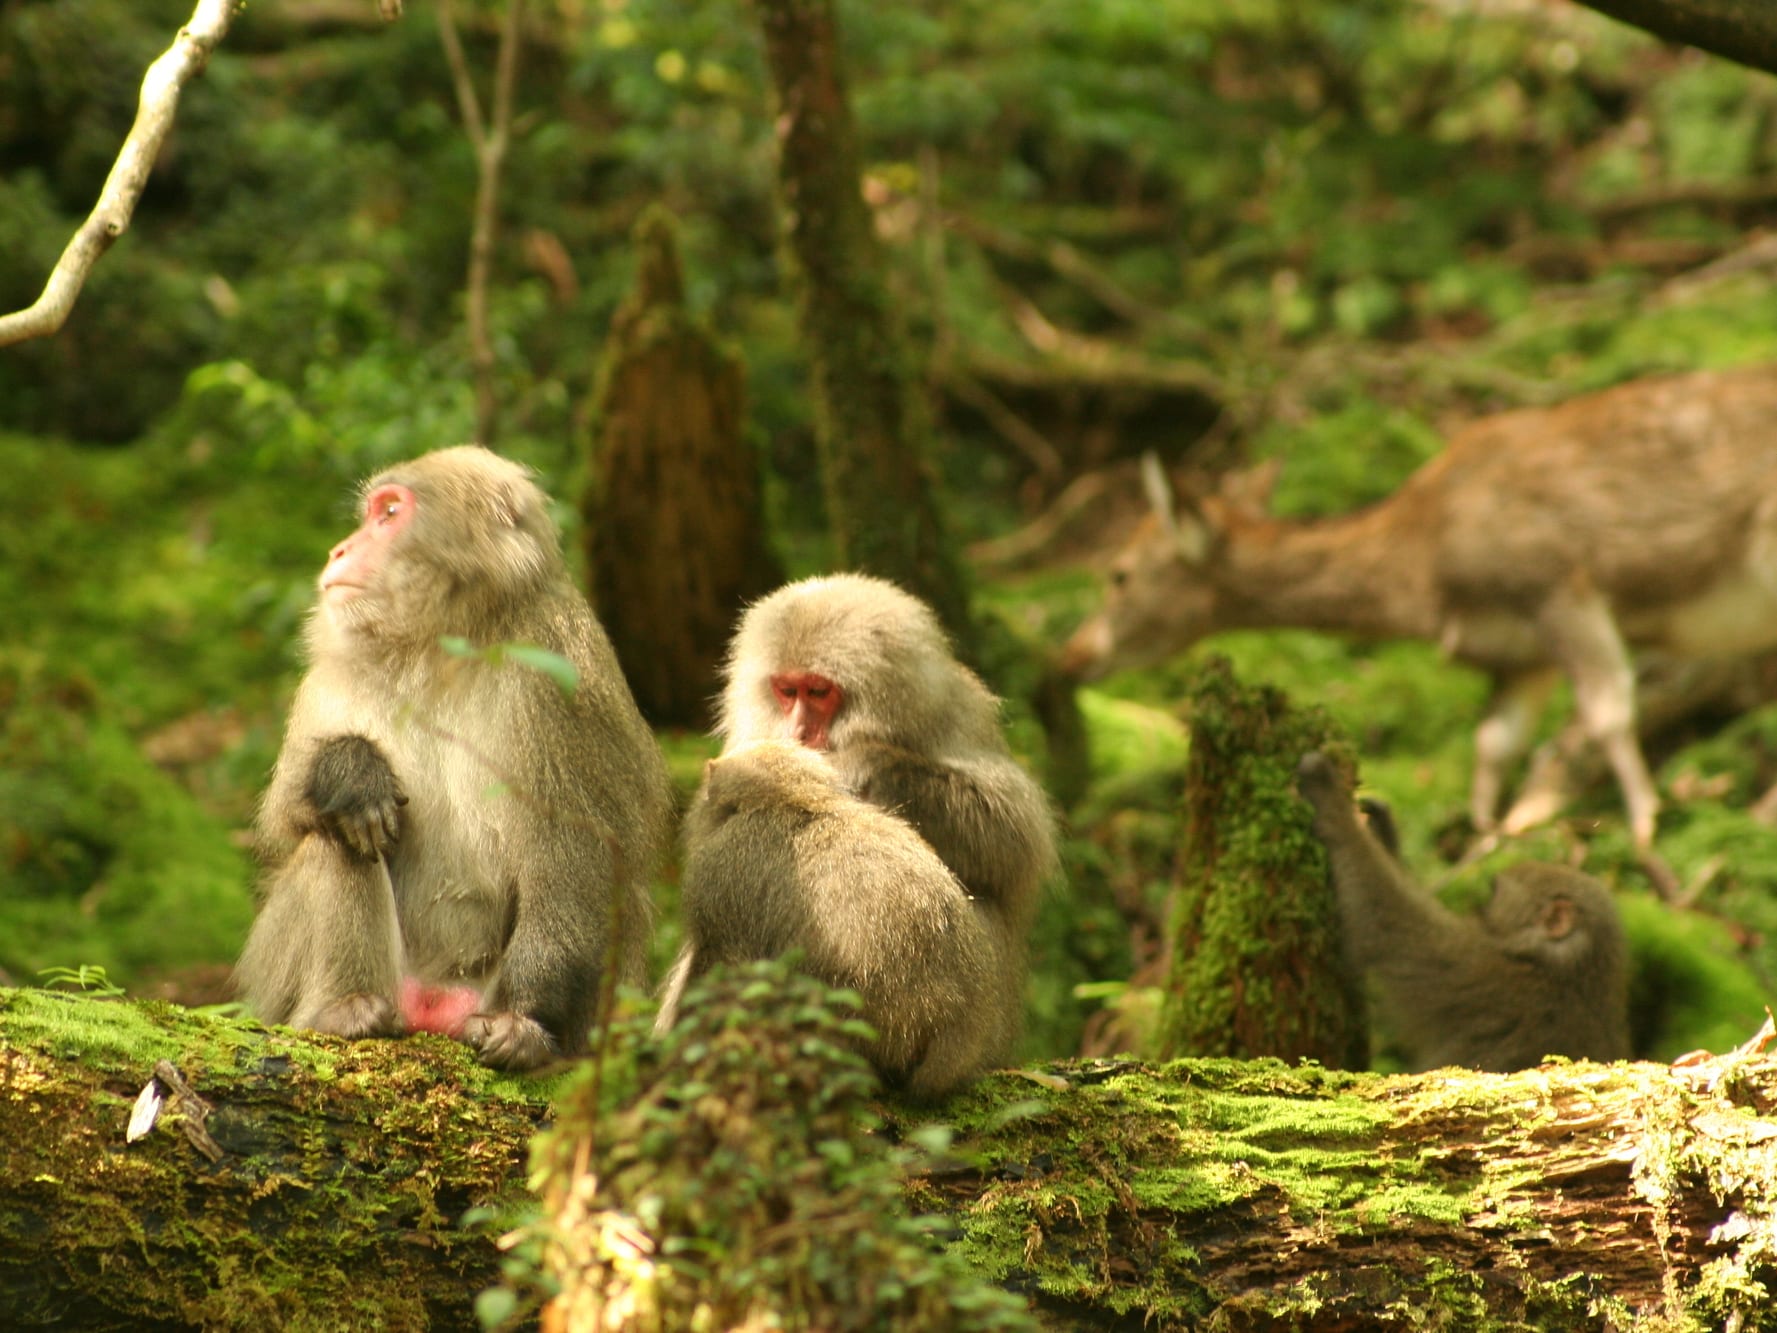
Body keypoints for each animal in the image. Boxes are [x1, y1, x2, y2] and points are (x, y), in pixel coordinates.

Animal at [236, 446, 671, 1073]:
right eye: (374, 512)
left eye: (390, 513)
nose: (338, 550)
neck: (439, 649)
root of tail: (432, 1004)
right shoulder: (331, 679)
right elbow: (285, 822)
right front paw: (350, 772)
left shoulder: (563, 671)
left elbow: (583, 844)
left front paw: (521, 1021)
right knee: (335, 839)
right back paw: (343, 1009)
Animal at [1059, 362, 1777, 856]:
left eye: (1117, 573)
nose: (1071, 654)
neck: (1426, 577)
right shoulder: (1516, 652)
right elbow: (1493, 744)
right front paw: (1482, 843)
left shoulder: (1555, 581)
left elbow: (1606, 712)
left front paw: (1647, 825)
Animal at [1293, 753, 1627, 1073]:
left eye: (1492, 891)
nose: (1477, 906)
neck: (1569, 975)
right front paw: (1384, 833)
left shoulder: (1479, 972)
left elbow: (1384, 921)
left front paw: (1332, 804)